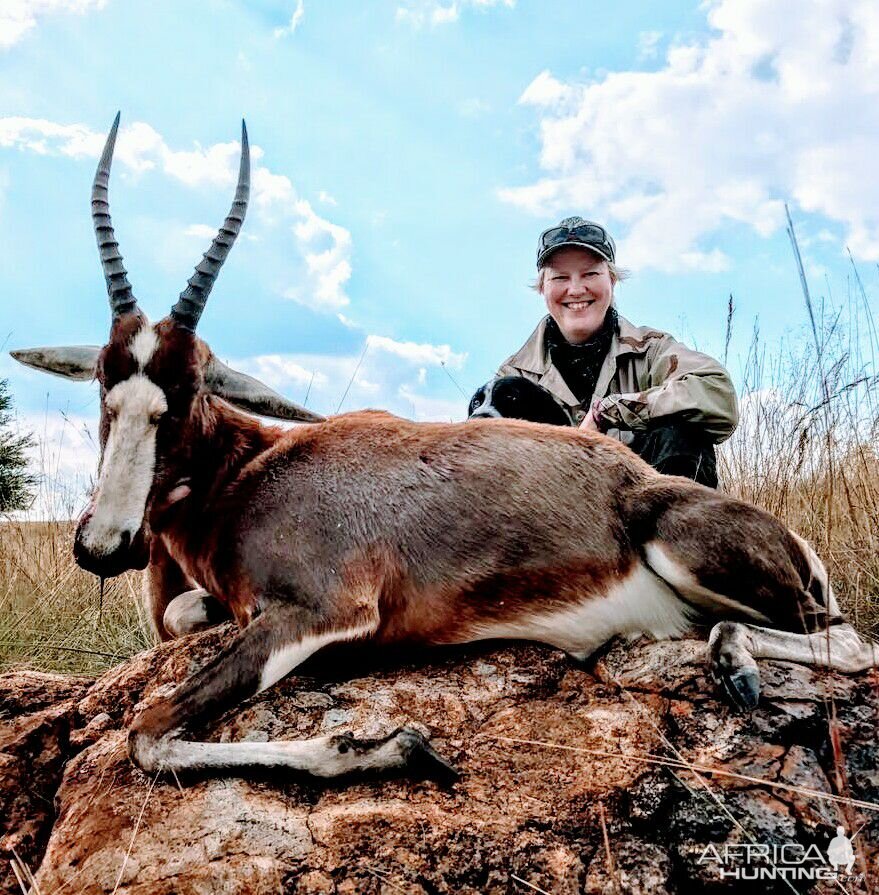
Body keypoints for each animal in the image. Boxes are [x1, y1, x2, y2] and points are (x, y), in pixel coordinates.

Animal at [13, 115, 879, 780]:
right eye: (103, 381)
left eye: (189, 387)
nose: (103, 542)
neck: (252, 471)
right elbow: (179, 628)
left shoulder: (319, 610)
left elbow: (148, 732)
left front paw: (393, 746)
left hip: (697, 551)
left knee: (845, 637)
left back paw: (736, 665)